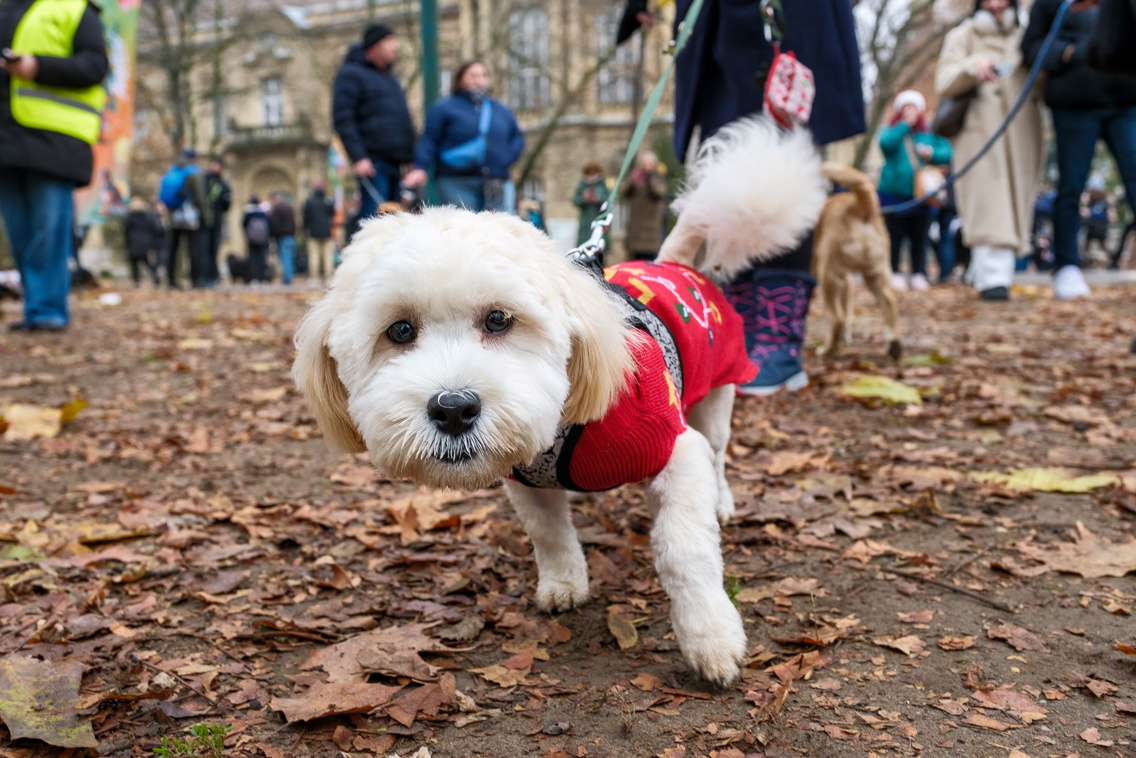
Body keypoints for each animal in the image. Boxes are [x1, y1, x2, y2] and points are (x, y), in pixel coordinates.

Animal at [293, 119, 827, 686]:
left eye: (499, 319)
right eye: (398, 330)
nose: (453, 408)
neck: (558, 430)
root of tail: (672, 263)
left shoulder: (675, 450)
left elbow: (685, 546)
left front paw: (710, 635)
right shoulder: (525, 480)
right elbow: (549, 534)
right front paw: (565, 583)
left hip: (717, 397)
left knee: (719, 453)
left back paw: (722, 502)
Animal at [813, 163, 899, 359]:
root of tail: (859, 206)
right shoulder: (847, 280)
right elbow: (847, 314)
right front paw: (845, 340)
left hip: (827, 276)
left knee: (837, 317)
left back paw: (828, 350)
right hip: (873, 275)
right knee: (889, 301)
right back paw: (895, 345)